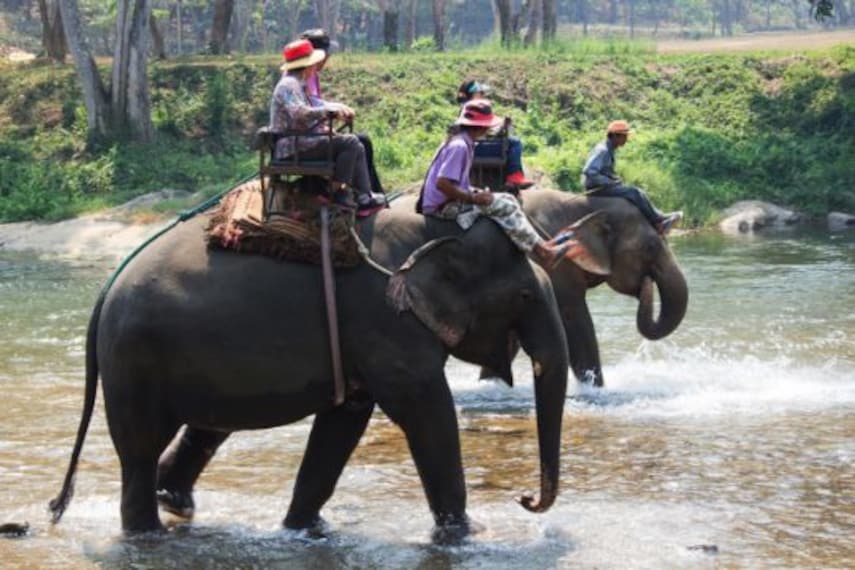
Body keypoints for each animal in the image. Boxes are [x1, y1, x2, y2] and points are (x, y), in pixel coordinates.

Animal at [49, 185, 610, 541]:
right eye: (524, 296)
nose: (525, 500)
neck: (429, 228)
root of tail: (105, 294)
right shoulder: (384, 320)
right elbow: (425, 410)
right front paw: (470, 534)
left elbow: (345, 419)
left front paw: (306, 530)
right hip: (135, 362)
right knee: (139, 448)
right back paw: (148, 533)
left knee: (205, 428)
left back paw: (176, 505)